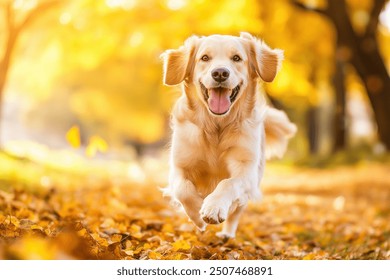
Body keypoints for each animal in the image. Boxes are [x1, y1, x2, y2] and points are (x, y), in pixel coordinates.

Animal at [161, 33, 296, 238]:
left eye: (237, 58)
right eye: (205, 58)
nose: (220, 73)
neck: (217, 127)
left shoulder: (246, 171)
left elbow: (228, 183)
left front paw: (213, 207)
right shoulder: (180, 166)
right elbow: (183, 189)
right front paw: (198, 214)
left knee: (236, 212)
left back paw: (227, 235)